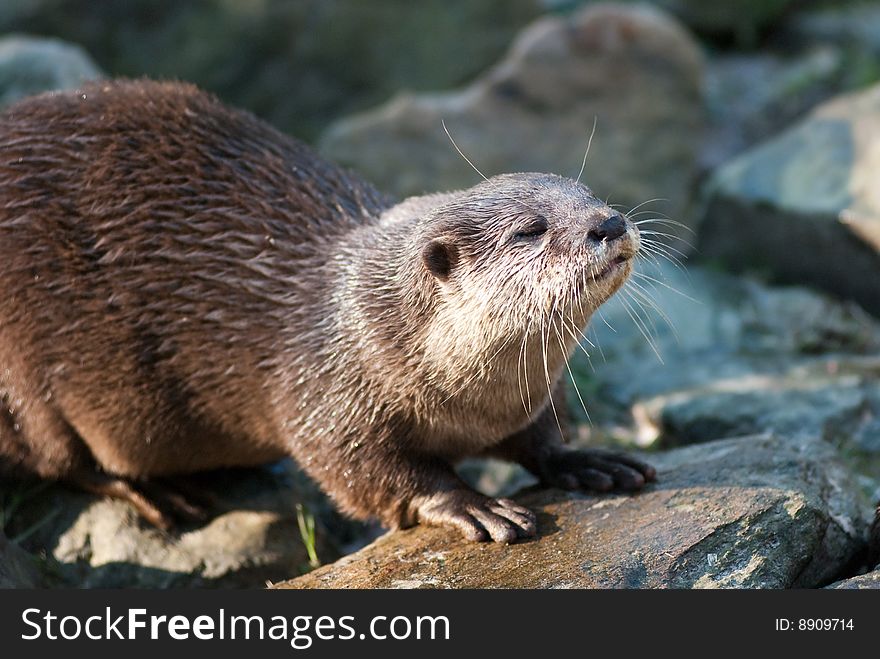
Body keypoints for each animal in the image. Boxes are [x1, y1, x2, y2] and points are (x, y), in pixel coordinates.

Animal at [1, 80, 652, 544]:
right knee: (56, 455)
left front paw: (586, 460)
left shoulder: (520, 399)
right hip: (26, 374)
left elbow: (540, 436)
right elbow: (367, 471)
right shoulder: (322, 392)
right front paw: (474, 502)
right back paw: (161, 495)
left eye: (589, 195)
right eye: (531, 229)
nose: (608, 222)